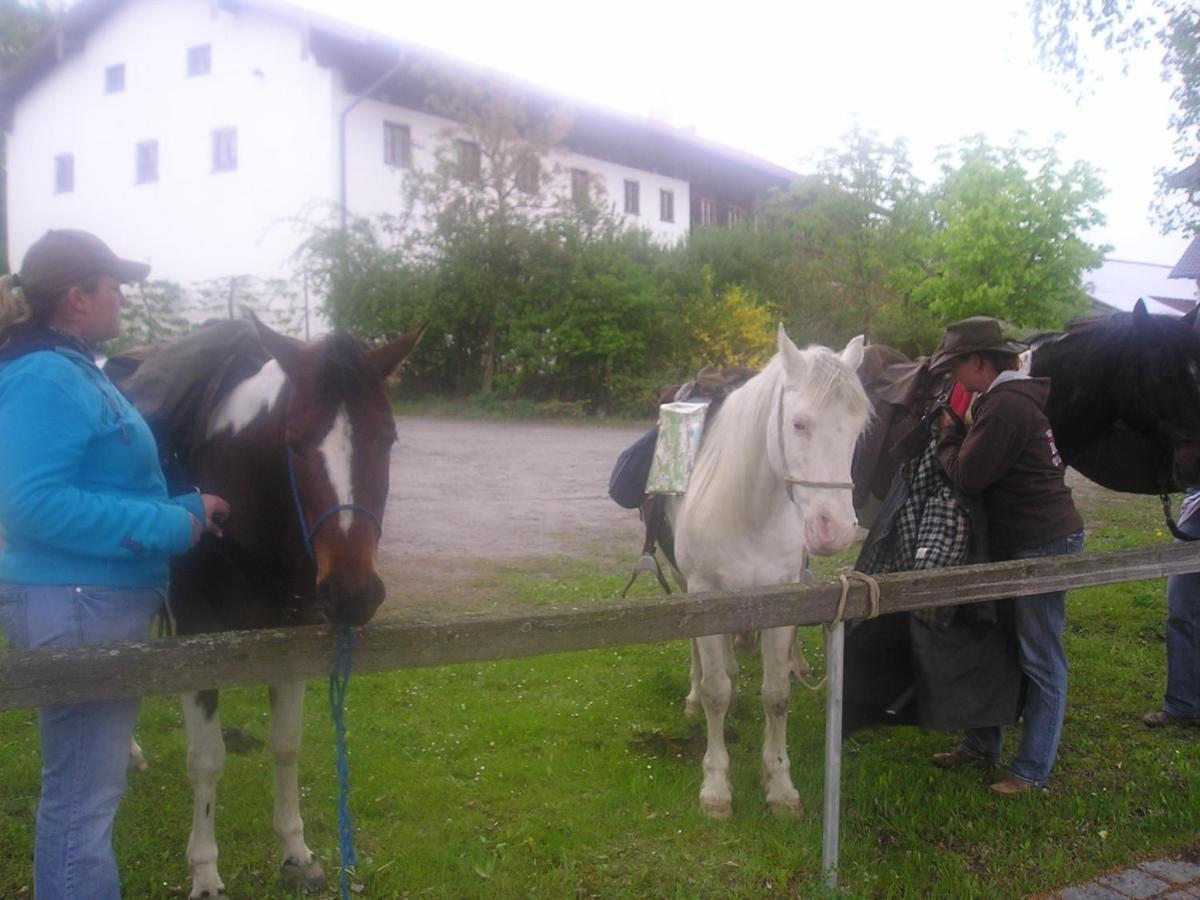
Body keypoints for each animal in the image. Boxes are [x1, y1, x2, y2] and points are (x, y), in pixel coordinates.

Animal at [108, 314, 424, 897]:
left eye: (389, 437)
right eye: (293, 443)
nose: (352, 593)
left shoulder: (291, 640)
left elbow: (286, 744)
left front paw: (296, 853)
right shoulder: (196, 641)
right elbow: (207, 761)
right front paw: (206, 872)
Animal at [667, 328, 873, 820]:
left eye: (858, 430)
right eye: (798, 424)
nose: (835, 530)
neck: (751, 513)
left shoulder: (781, 603)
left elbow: (776, 694)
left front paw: (779, 784)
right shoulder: (706, 598)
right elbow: (716, 693)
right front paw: (716, 786)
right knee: (699, 660)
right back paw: (692, 694)